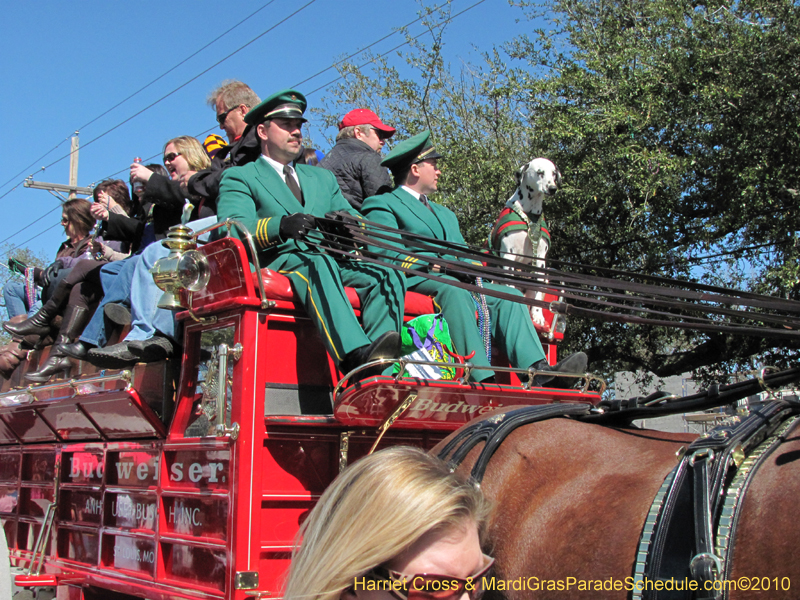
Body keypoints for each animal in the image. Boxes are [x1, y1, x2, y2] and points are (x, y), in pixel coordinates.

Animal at [488, 159, 564, 326]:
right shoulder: (508, 255)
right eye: (540, 172)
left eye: (554, 173)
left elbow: (538, 292)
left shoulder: (540, 260)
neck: (530, 216)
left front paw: (538, 315)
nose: (553, 188)